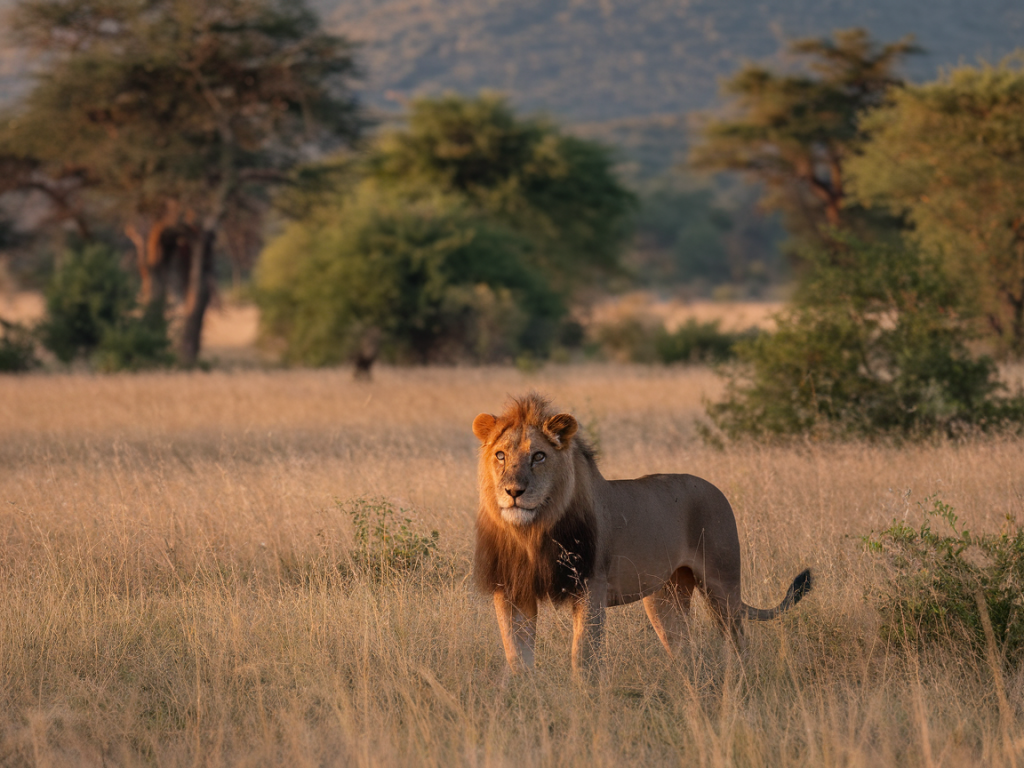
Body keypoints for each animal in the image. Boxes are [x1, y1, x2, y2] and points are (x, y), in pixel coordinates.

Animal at [473, 393, 815, 675]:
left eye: (539, 456)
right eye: (501, 455)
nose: (513, 491)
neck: (532, 531)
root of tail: (715, 488)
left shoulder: (590, 587)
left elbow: (583, 656)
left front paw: (585, 703)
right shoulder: (512, 591)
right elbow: (517, 656)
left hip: (722, 584)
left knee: (739, 640)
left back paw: (742, 679)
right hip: (667, 594)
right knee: (682, 646)